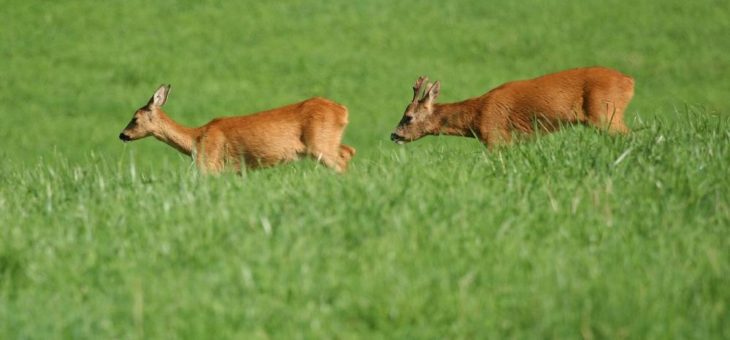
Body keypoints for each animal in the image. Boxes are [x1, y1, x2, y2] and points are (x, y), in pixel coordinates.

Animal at [118, 84, 354, 174]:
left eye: (135, 118)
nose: (122, 135)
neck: (196, 138)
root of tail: (343, 110)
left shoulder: (209, 163)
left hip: (319, 143)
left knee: (341, 159)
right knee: (349, 151)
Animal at [386, 65, 632, 147]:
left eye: (408, 116)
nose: (393, 135)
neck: (476, 115)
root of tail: (630, 81)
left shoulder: (495, 137)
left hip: (606, 112)